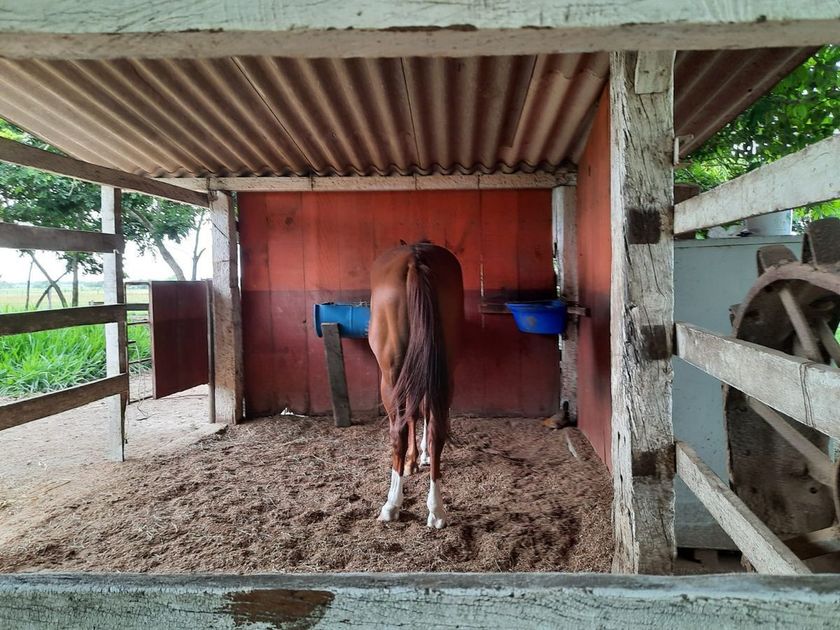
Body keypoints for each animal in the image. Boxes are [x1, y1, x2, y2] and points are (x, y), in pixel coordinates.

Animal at [368, 241, 464, 528]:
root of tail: (415, 259)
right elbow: (423, 412)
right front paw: (420, 457)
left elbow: (410, 416)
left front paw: (410, 462)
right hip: (444, 372)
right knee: (436, 429)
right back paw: (437, 510)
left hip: (389, 379)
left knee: (397, 431)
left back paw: (392, 504)